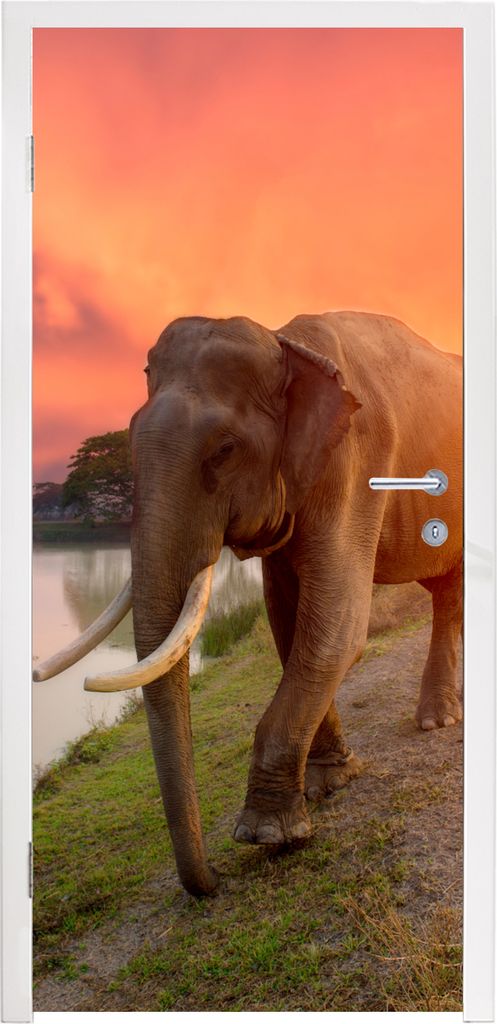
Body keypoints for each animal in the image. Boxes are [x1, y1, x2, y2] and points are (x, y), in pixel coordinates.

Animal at [34, 311, 463, 897]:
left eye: (224, 450)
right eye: (129, 440)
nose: (213, 881)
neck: (287, 344)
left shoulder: (355, 461)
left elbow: (337, 628)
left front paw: (267, 835)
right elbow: (288, 620)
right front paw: (329, 782)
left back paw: (437, 722)